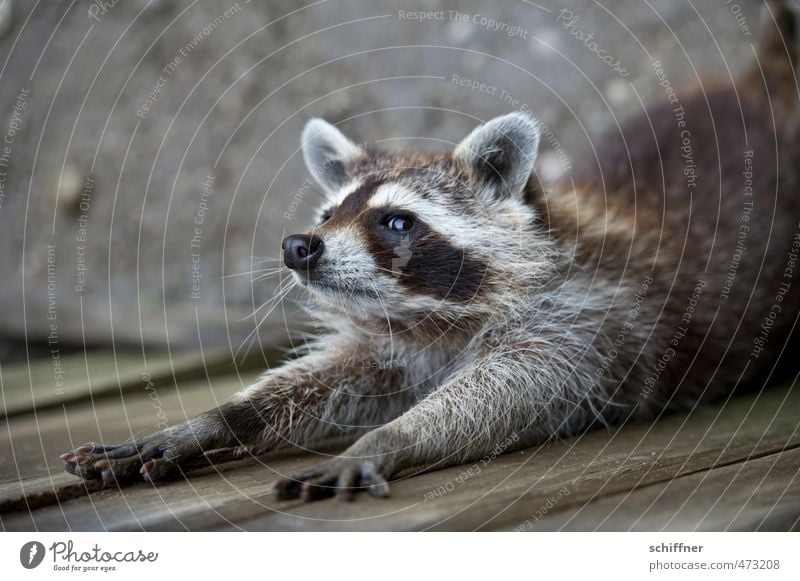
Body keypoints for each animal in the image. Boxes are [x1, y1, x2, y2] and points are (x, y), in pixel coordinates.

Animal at [61, 3, 800, 502]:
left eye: (396, 221)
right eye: (328, 214)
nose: (299, 247)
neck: (430, 318)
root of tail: (762, 91)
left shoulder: (588, 322)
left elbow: (515, 389)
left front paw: (392, 436)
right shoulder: (392, 338)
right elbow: (335, 377)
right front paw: (220, 417)